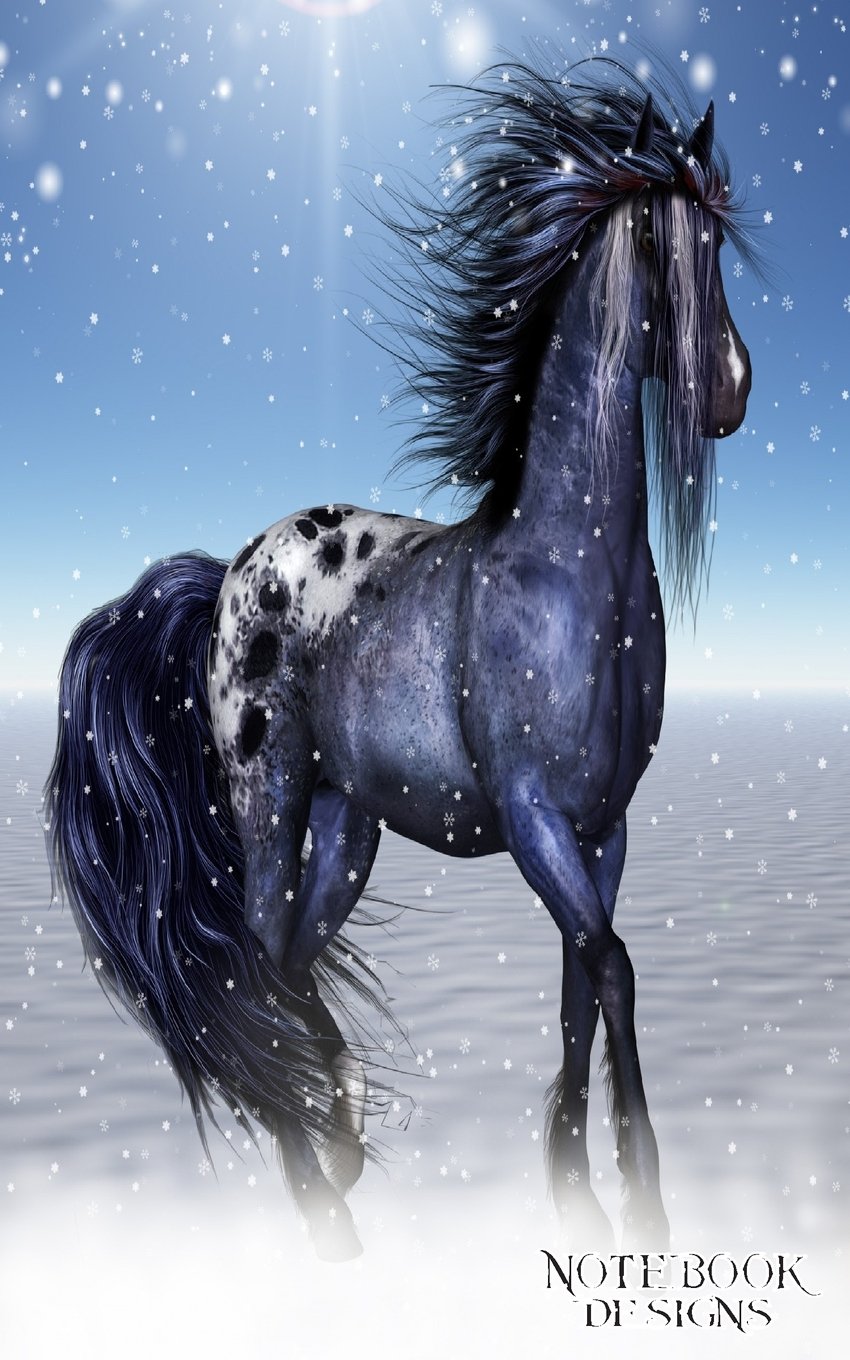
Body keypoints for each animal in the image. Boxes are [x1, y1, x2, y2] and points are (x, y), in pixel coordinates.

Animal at [45, 56, 753, 1261]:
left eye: (715, 243)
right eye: (659, 251)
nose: (730, 390)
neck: (572, 568)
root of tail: (226, 574)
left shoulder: (603, 824)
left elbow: (583, 973)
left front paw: (575, 1178)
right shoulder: (534, 816)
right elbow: (610, 962)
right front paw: (646, 1194)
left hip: (347, 821)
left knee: (289, 956)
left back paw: (335, 1141)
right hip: (272, 800)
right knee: (254, 952)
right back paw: (316, 1183)